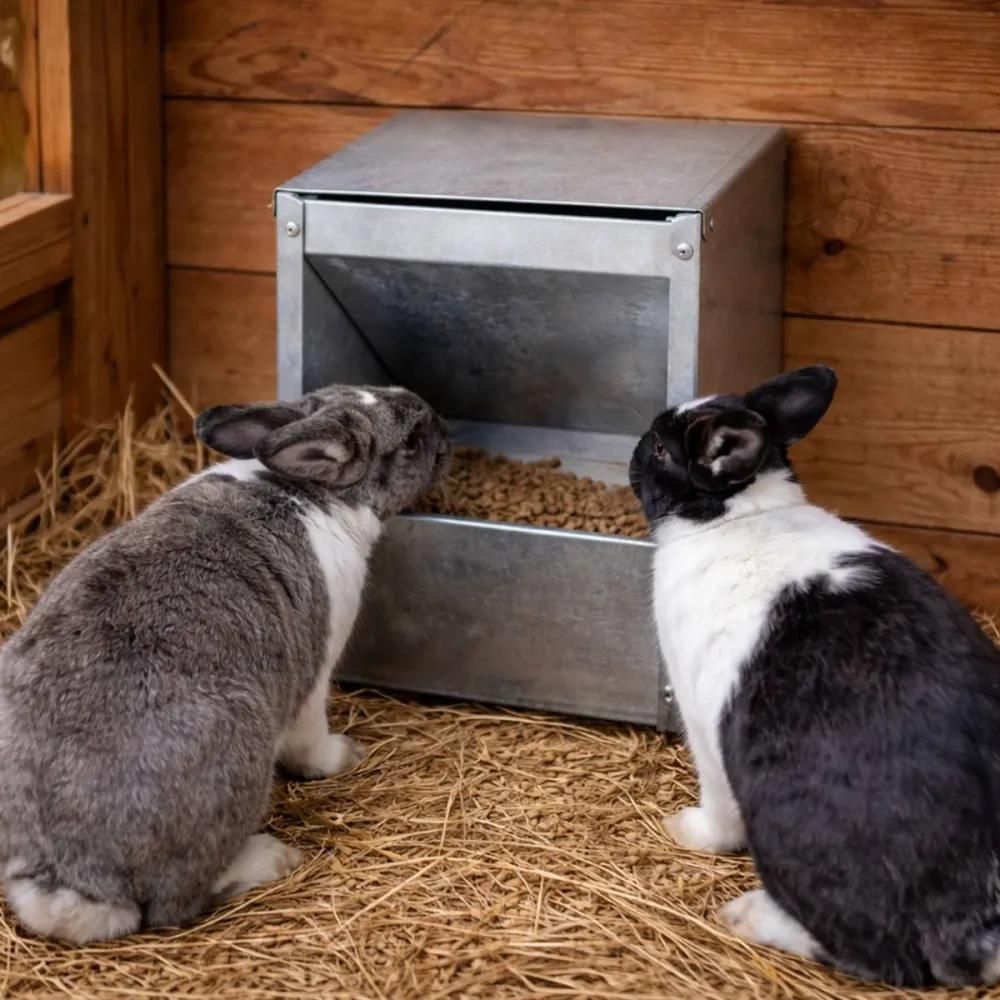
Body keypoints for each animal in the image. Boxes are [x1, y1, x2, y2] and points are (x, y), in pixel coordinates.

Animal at [0, 383, 449, 944]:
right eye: (410, 441)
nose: (446, 437)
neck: (309, 490)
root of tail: (68, 876)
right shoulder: (314, 678)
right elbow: (311, 745)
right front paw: (346, 755)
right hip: (238, 756)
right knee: (177, 902)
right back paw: (270, 859)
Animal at [629, 365, 1000, 987]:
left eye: (660, 448)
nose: (634, 452)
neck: (738, 515)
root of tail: (975, 923)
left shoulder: (704, 728)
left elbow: (717, 812)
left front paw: (684, 829)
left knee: (878, 954)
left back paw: (750, 916)